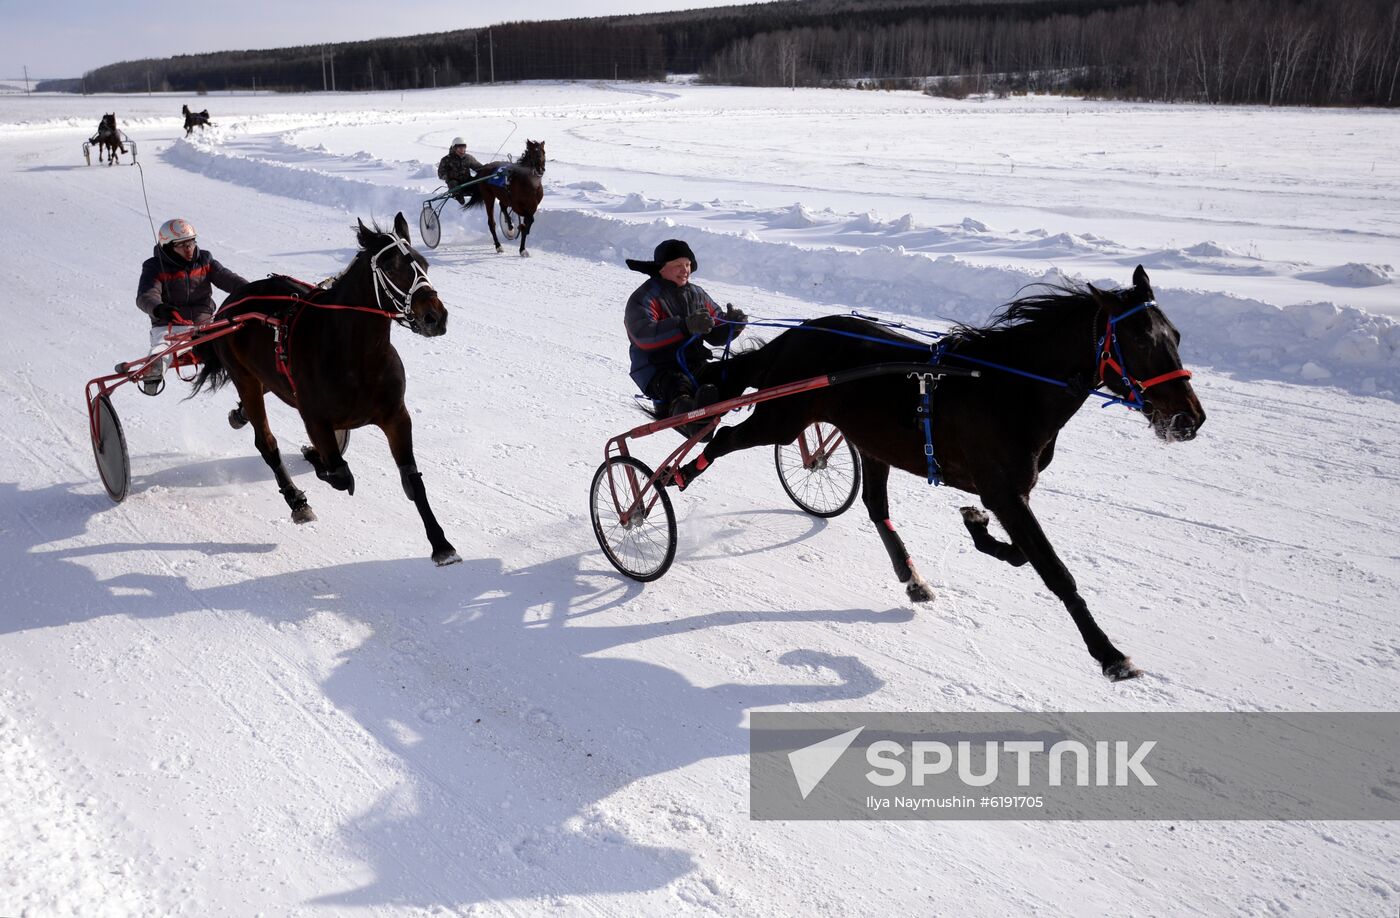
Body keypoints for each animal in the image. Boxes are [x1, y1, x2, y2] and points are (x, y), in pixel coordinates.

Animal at [190, 212, 461, 566]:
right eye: (391, 268)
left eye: (424, 263)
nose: (435, 317)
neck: (357, 355)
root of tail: (229, 306)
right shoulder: (315, 417)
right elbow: (339, 472)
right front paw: (314, 457)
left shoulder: (396, 416)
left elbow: (411, 481)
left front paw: (441, 544)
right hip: (244, 375)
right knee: (267, 443)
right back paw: (296, 500)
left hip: (264, 378)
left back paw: (239, 414)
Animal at [673, 265, 1205, 680]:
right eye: (1140, 341)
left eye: (1177, 337)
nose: (1190, 420)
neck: (1009, 388)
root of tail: (798, 334)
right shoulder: (1004, 492)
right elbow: (1055, 571)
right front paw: (1111, 655)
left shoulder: (1011, 493)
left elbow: (1020, 553)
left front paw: (977, 527)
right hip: (782, 419)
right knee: (721, 439)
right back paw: (673, 477)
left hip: (870, 442)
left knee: (875, 506)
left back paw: (912, 577)